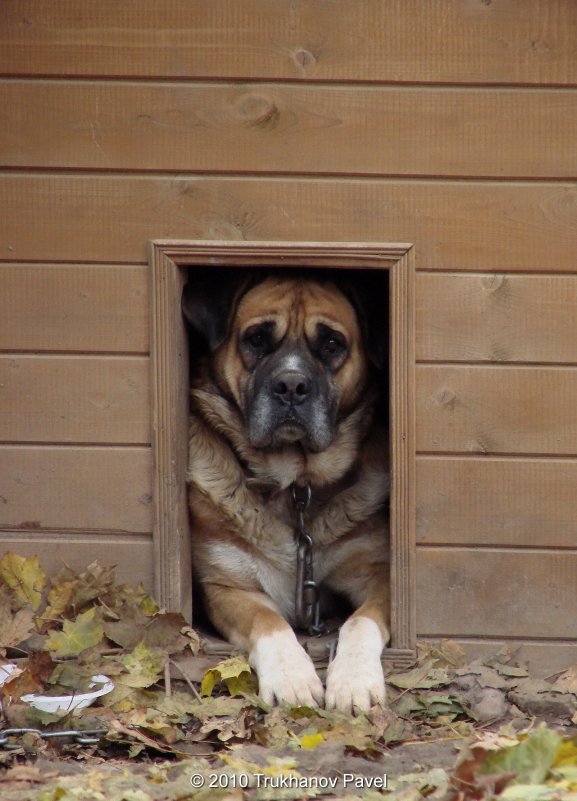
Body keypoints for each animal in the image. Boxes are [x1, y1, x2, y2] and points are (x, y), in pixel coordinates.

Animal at [183, 270, 392, 712]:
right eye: (257, 339)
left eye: (331, 344)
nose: (291, 385)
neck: (297, 485)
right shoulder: (227, 587)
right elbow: (270, 623)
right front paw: (292, 678)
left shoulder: (378, 575)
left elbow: (360, 623)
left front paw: (353, 681)